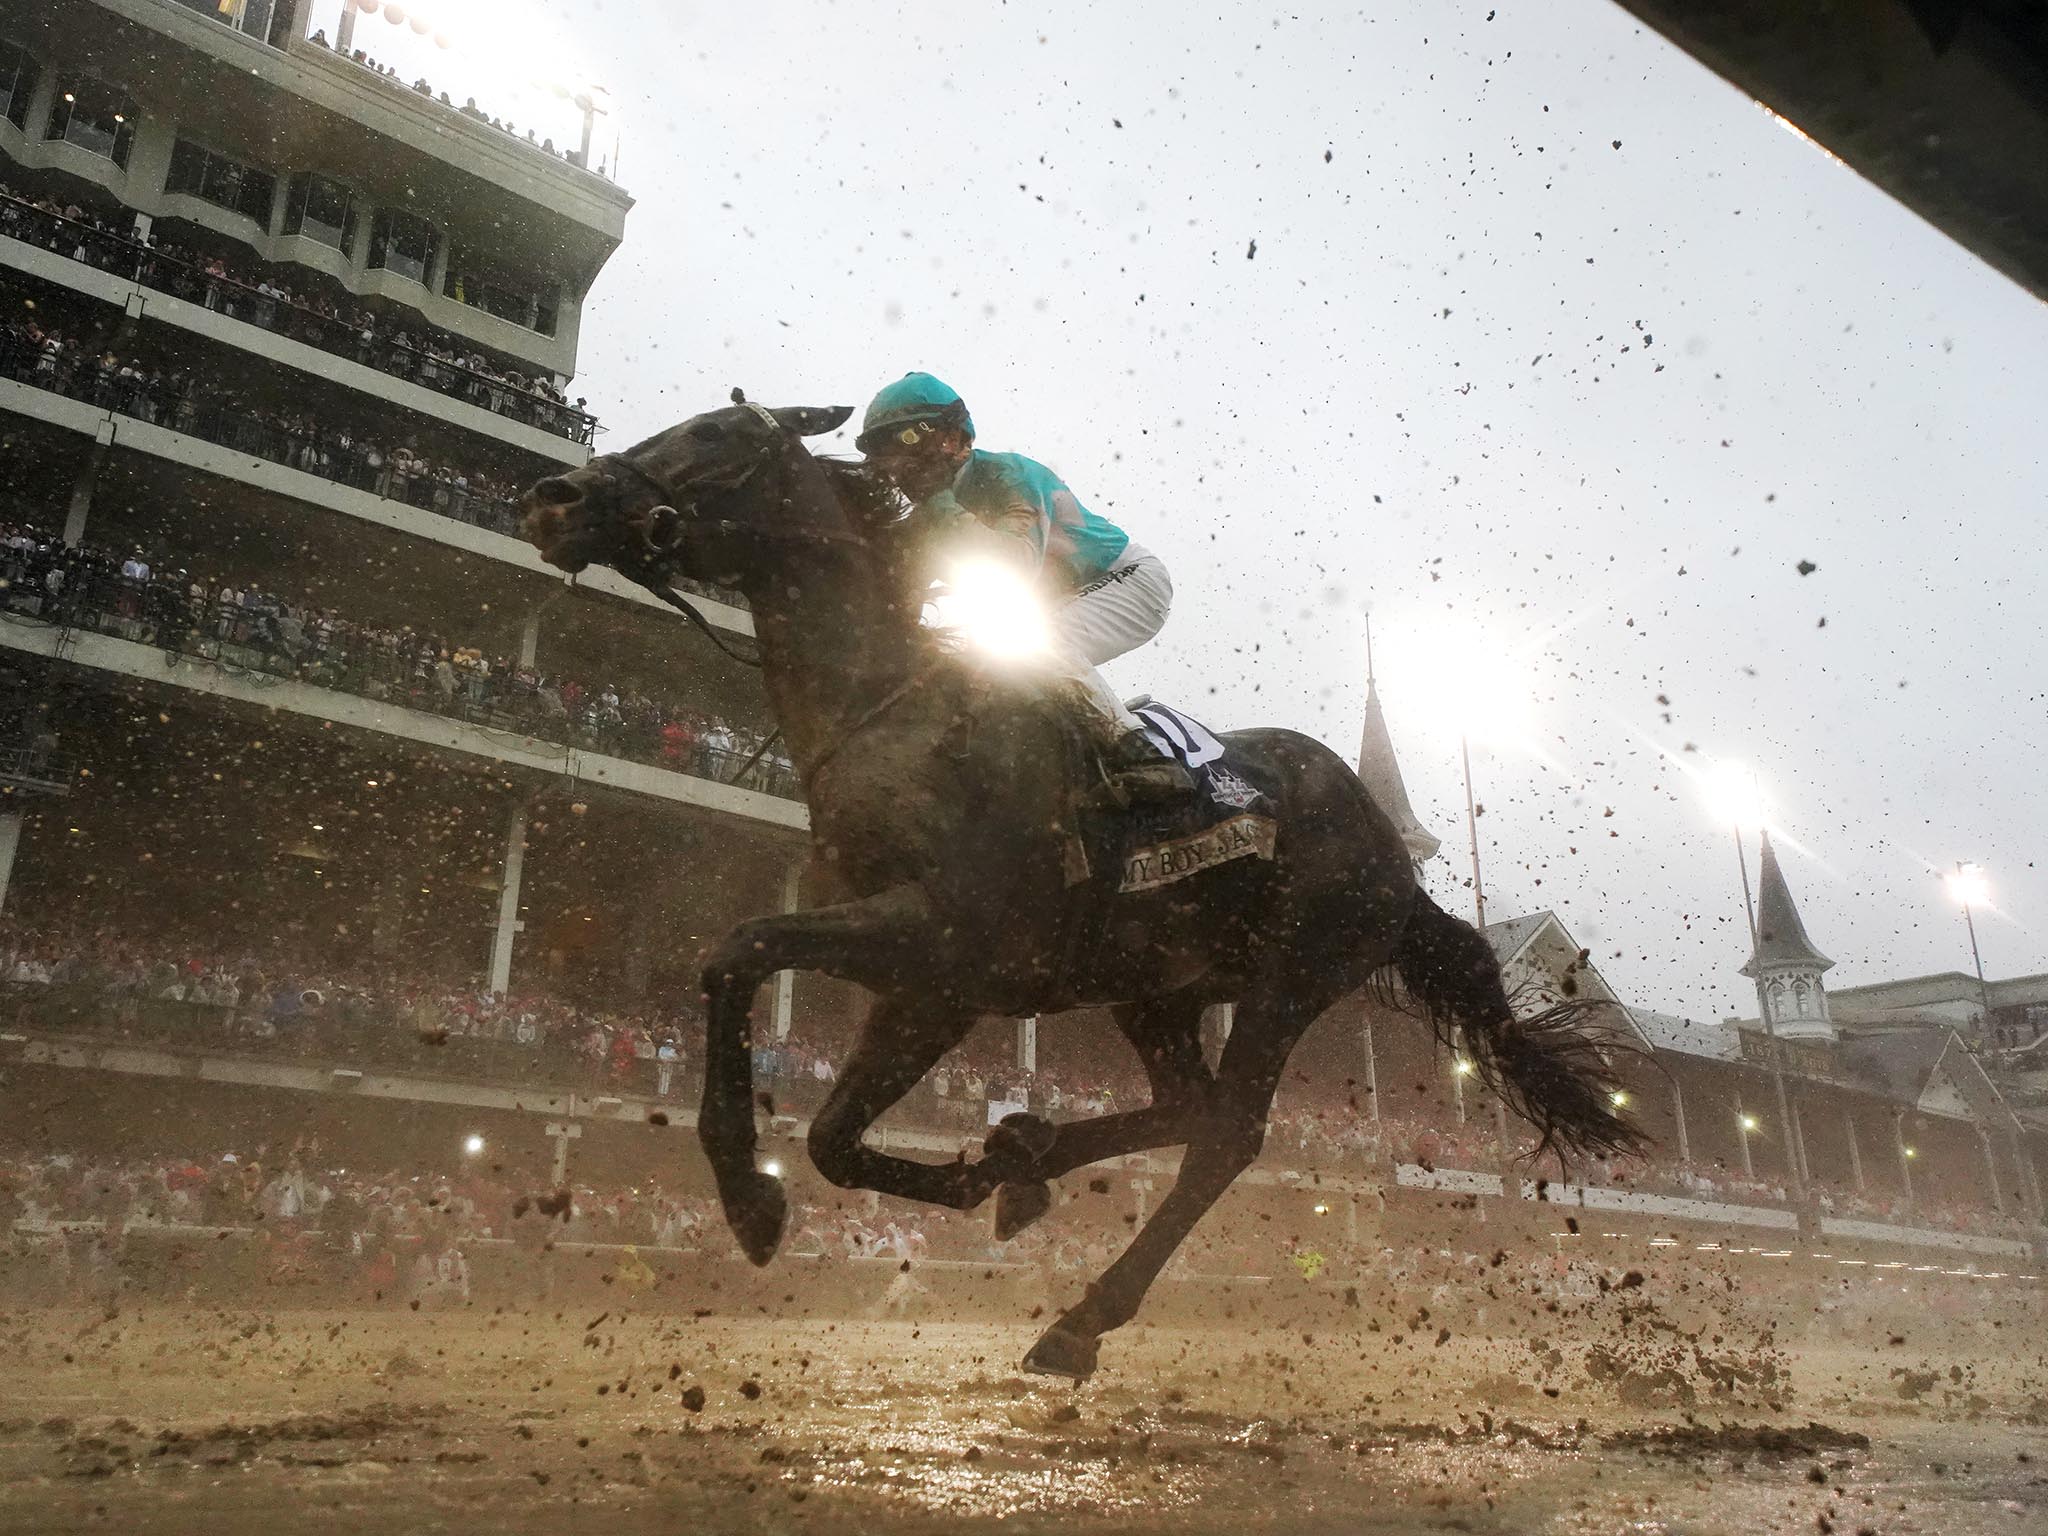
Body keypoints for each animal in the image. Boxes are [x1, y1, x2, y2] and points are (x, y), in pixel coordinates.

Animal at [520, 397, 1638, 1384]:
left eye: (713, 434)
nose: (553, 496)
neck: (896, 718)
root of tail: (1397, 869)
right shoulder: (933, 985)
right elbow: (834, 1139)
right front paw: (978, 1176)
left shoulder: (940, 939)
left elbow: (739, 949)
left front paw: (750, 1201)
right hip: (1158, 986)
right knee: (1185, 1105)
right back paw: (1028, 1152)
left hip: (1292, 974)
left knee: (1226, 1134)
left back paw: (1077, 1318)